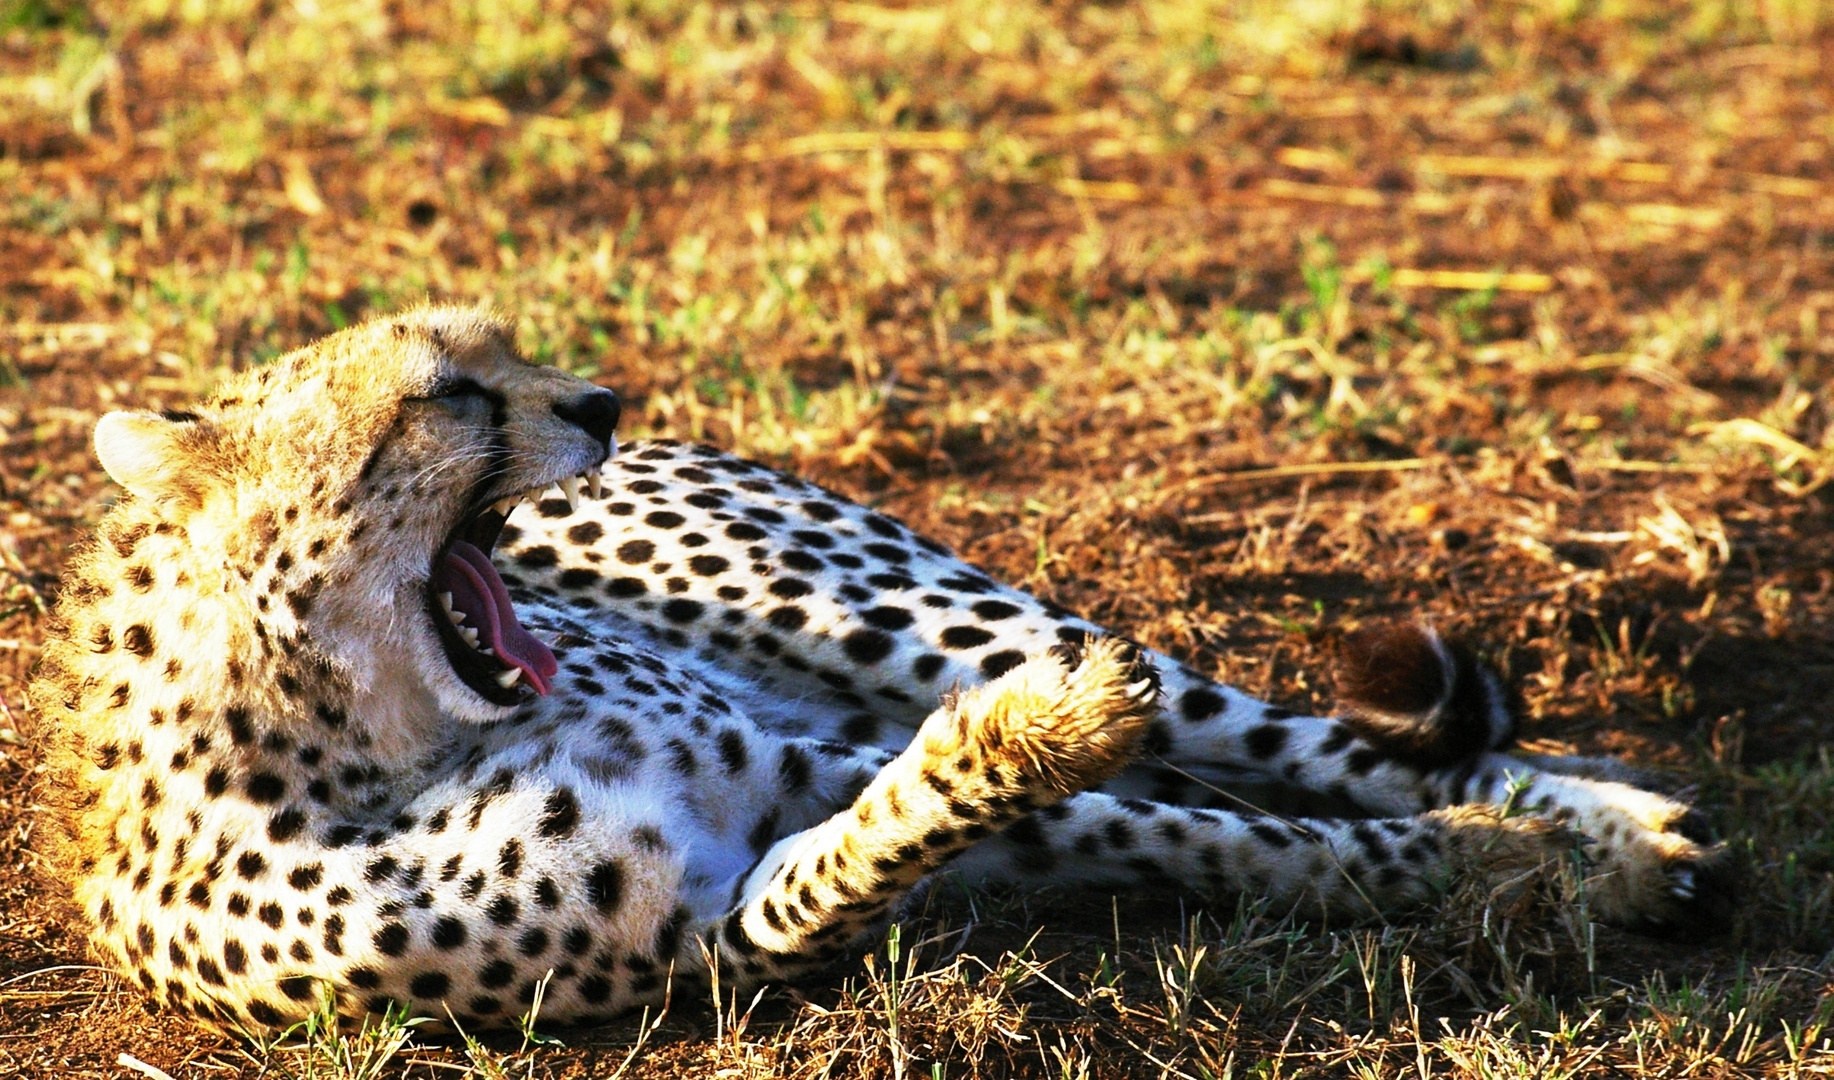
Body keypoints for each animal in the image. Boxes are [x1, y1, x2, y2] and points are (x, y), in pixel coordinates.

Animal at [32, 308, 1731, 1034]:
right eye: (446, 392)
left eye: (496, 349)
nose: (601, 400)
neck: (381, 735)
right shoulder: (705, 944)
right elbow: (918, 852)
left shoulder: (795, 760)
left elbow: (1223, 822)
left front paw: (1541, 862)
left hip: (883, 614)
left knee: (1314, 747)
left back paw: (1611, 819)